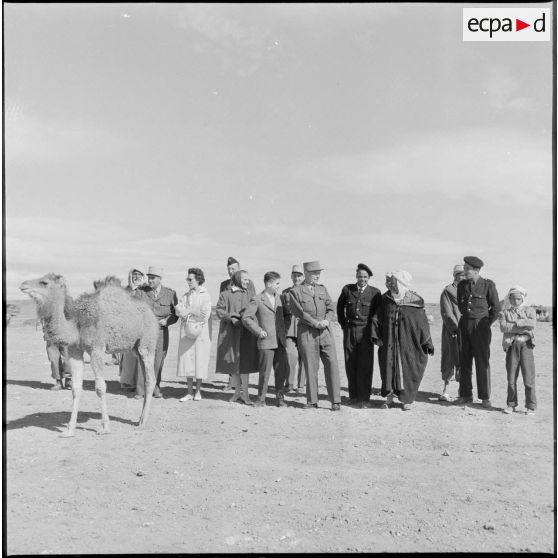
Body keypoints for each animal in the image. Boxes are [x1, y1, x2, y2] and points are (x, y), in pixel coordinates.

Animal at [19, 274, 160, 438]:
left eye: (44, 282)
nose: (23, 284)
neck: (77, 325)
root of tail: (151, 314)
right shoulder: (74, 351)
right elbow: (75, 388)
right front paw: (69, 430)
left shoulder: (96, 349)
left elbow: (100, 387)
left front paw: (105, 427)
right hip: (134, 349)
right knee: (147, 376)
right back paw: (139, 418)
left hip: (147, 344)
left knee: (150, 379)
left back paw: (143, 422)